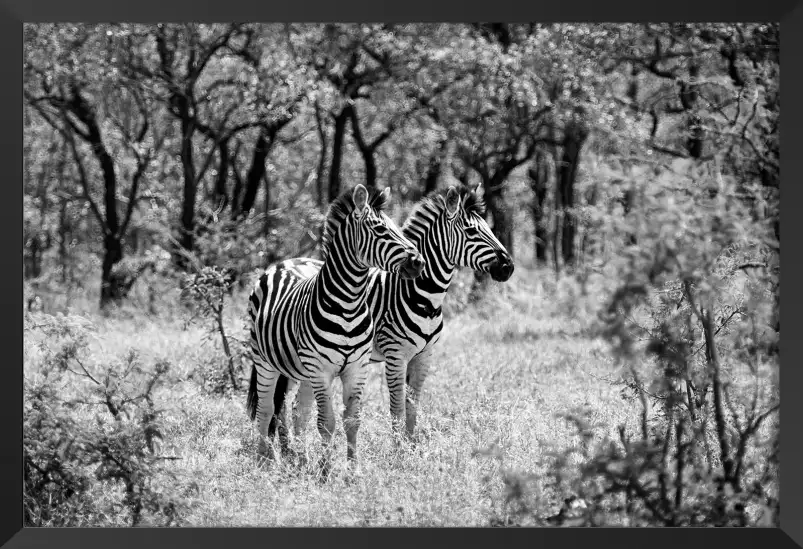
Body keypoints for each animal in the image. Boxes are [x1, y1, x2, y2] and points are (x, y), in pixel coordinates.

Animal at [248, 184, 428, 470]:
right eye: (380, 230)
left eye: (398, 228)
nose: (419, 263)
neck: (349, 305)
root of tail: (281, 264)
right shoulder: (322, 370)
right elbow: (326, 423)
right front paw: (326, 470)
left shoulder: (355, 369)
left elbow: (351, 421)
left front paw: (352, 469)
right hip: (264, 361)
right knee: (265, 411)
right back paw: (264, 461)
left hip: (303, 370)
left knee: (299, 410)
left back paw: (301, 460)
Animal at [274, 184, 516, 440]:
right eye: (471, 231)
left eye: (489, 228)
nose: (508, 267)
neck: (423, 297)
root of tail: (290, 261)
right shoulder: (395, 355)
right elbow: (397, 408)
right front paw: (399, 448)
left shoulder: (424, 356)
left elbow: (413, 408)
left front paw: (412, 446)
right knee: (283, 405)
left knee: (298, 406)